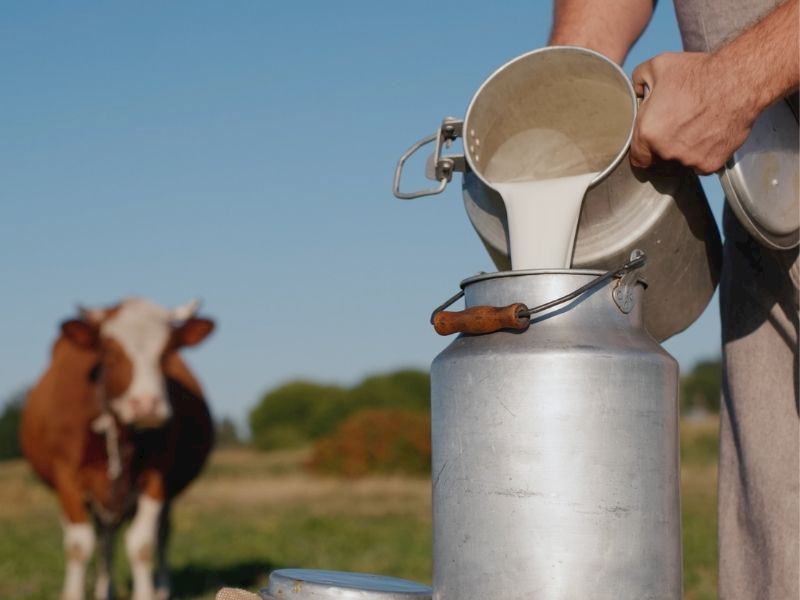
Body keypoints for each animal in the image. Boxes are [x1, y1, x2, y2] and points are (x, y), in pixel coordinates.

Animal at [21, 298, 216, 600]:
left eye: (168, 352)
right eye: (110, 352)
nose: (147, 405)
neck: (118, 429)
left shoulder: (156, 477)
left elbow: (142, 544)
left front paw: (147, 593)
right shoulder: (67, 477)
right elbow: (79, 545)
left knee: (158, 535)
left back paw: (160, 588)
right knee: (102, 539)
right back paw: (104, 589)